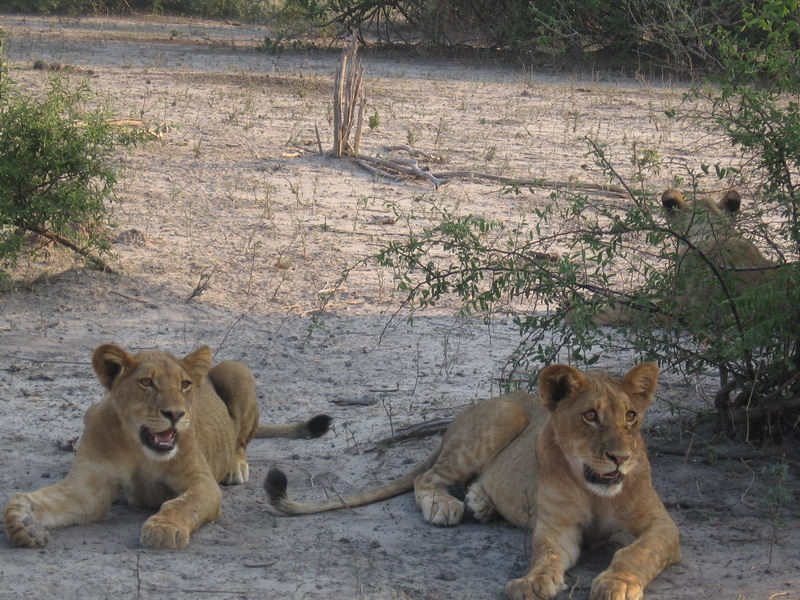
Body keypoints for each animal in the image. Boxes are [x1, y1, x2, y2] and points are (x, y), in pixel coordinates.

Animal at [3, 342, 332, 548]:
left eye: (184, 385)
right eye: (146, 383)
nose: (175, 414)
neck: (138, 448)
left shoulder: (202, 482)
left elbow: (183, 504)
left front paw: (163, 529)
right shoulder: (87, 489)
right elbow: (41, 501)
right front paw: (23, 523)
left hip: (237, 371)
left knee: (241, 441)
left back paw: (235, 467)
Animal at [266, 360, 680, 600]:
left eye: (630, 416)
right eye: (590, 416)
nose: (620, 458)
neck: (595, 489)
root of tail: (466, 411)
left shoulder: (663, 525)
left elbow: (637, 551)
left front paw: (617, 583)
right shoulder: (557, 527)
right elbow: (545, 553)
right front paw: (532, 582)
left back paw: (482, 505)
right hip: (501, 420)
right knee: (427, 478)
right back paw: (446, 507)